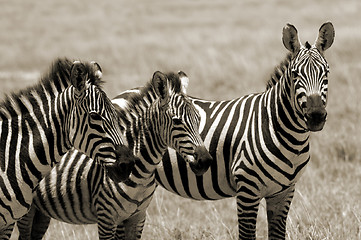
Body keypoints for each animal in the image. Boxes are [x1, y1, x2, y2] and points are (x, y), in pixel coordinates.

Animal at [16, 70, 212, 239]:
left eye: (198, 119)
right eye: (177, 121)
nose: (205, 161)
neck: (143, 174)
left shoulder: (137, 218)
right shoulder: (107, 218)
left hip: (41, 211)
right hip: (26, 210)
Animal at [153, 21, 334, 239]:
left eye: (326, 72)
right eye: (295, 74)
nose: (316, 116)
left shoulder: (284, 192)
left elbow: (277, 234)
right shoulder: (247, 189)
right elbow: (247, 235)